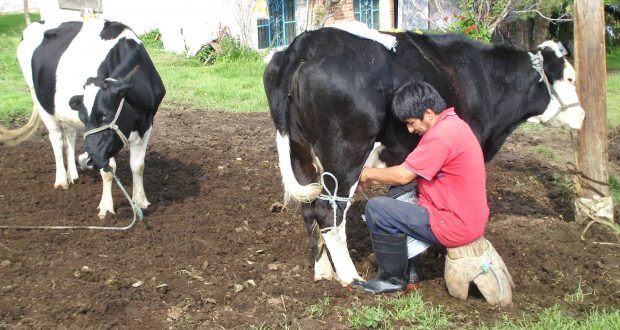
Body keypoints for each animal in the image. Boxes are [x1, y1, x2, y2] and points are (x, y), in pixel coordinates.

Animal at [3, 19, 165, 218]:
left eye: (105, 115)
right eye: (85, 118)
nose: (87, 161)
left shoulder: (147, 123)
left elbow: (138, 166)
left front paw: (141, 201)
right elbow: (108, 171)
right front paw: (106, 207)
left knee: (69, 135)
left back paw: (73, 174)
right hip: (40, 101)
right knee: (56, 138)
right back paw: (62, 180)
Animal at [264, 27, 584, 286]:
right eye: (570, 77)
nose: (582, 115)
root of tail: (308, 42)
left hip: (300, 153)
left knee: (308, 208)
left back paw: (323, 272)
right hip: (345, 154)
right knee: (327, 211)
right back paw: (350, 277)